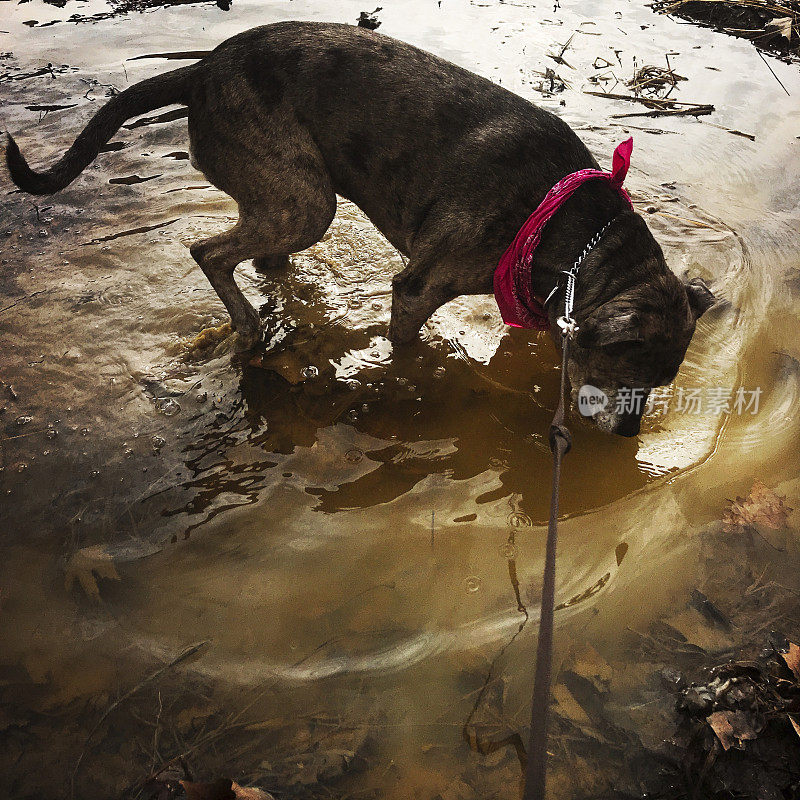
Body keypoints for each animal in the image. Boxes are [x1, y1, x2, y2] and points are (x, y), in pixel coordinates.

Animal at [4, 20, 720, 438]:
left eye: (662, 384)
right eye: (626, 371)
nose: (629, 436)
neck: (568, 225)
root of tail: (201, 69)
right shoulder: (417, 287)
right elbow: (407, 346)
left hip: (286, 202)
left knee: (258, 261)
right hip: (305, 200)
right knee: (208, 251)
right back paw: (248, 328)